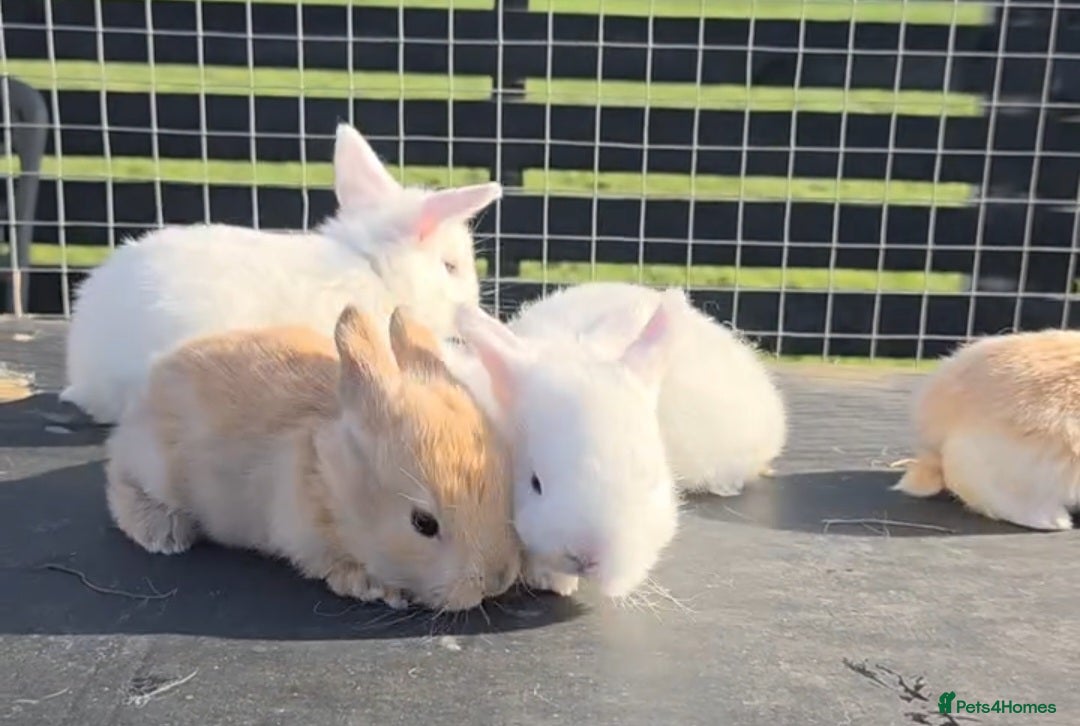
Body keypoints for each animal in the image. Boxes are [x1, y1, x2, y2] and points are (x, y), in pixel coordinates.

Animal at [104, 304, 522, 612]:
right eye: (423, 523)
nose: (497, 579)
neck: (332, 479)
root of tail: (151, 381)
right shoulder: (302, 533)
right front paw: (375, 587)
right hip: (154, 467)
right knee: (119, 482)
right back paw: (164, 533)